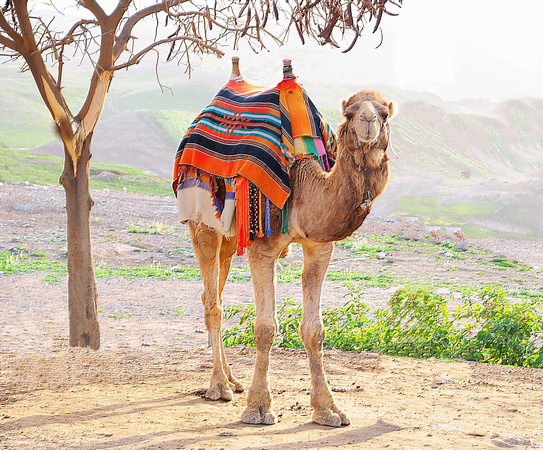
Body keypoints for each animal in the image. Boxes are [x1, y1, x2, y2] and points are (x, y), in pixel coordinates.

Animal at [182, 58, 396, 428]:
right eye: (351, 112)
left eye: (384, 113)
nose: (368, 122)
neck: (305, 182)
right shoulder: (262, 246)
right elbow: (265, 327)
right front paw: (258, 408)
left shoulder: (320, 246)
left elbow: (315, 330)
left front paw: (328, 409)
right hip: (202, 221)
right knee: (213, 302)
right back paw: (219, 387)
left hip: (229, 236)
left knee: (216, 292)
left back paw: (233, 380)